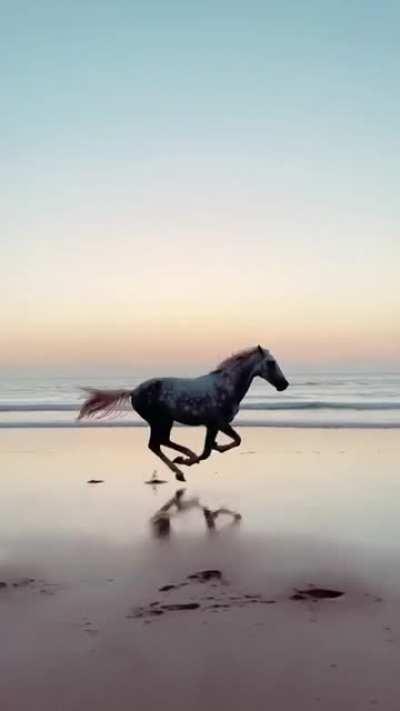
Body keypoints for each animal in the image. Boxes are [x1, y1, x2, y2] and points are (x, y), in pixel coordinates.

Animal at [78, 345, 289, 482]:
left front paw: (212, 448)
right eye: (271, 362)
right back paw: (181, 468)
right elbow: (224, 445)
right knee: (156, 444)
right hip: (159, 421)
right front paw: (191, 460)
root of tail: (133, 391)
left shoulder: (213, 425)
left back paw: (182, 461)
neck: (226, 387)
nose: (284, 384)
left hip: (166, 421)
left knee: (161, 443)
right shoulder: (218, 423)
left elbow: (215, 448)